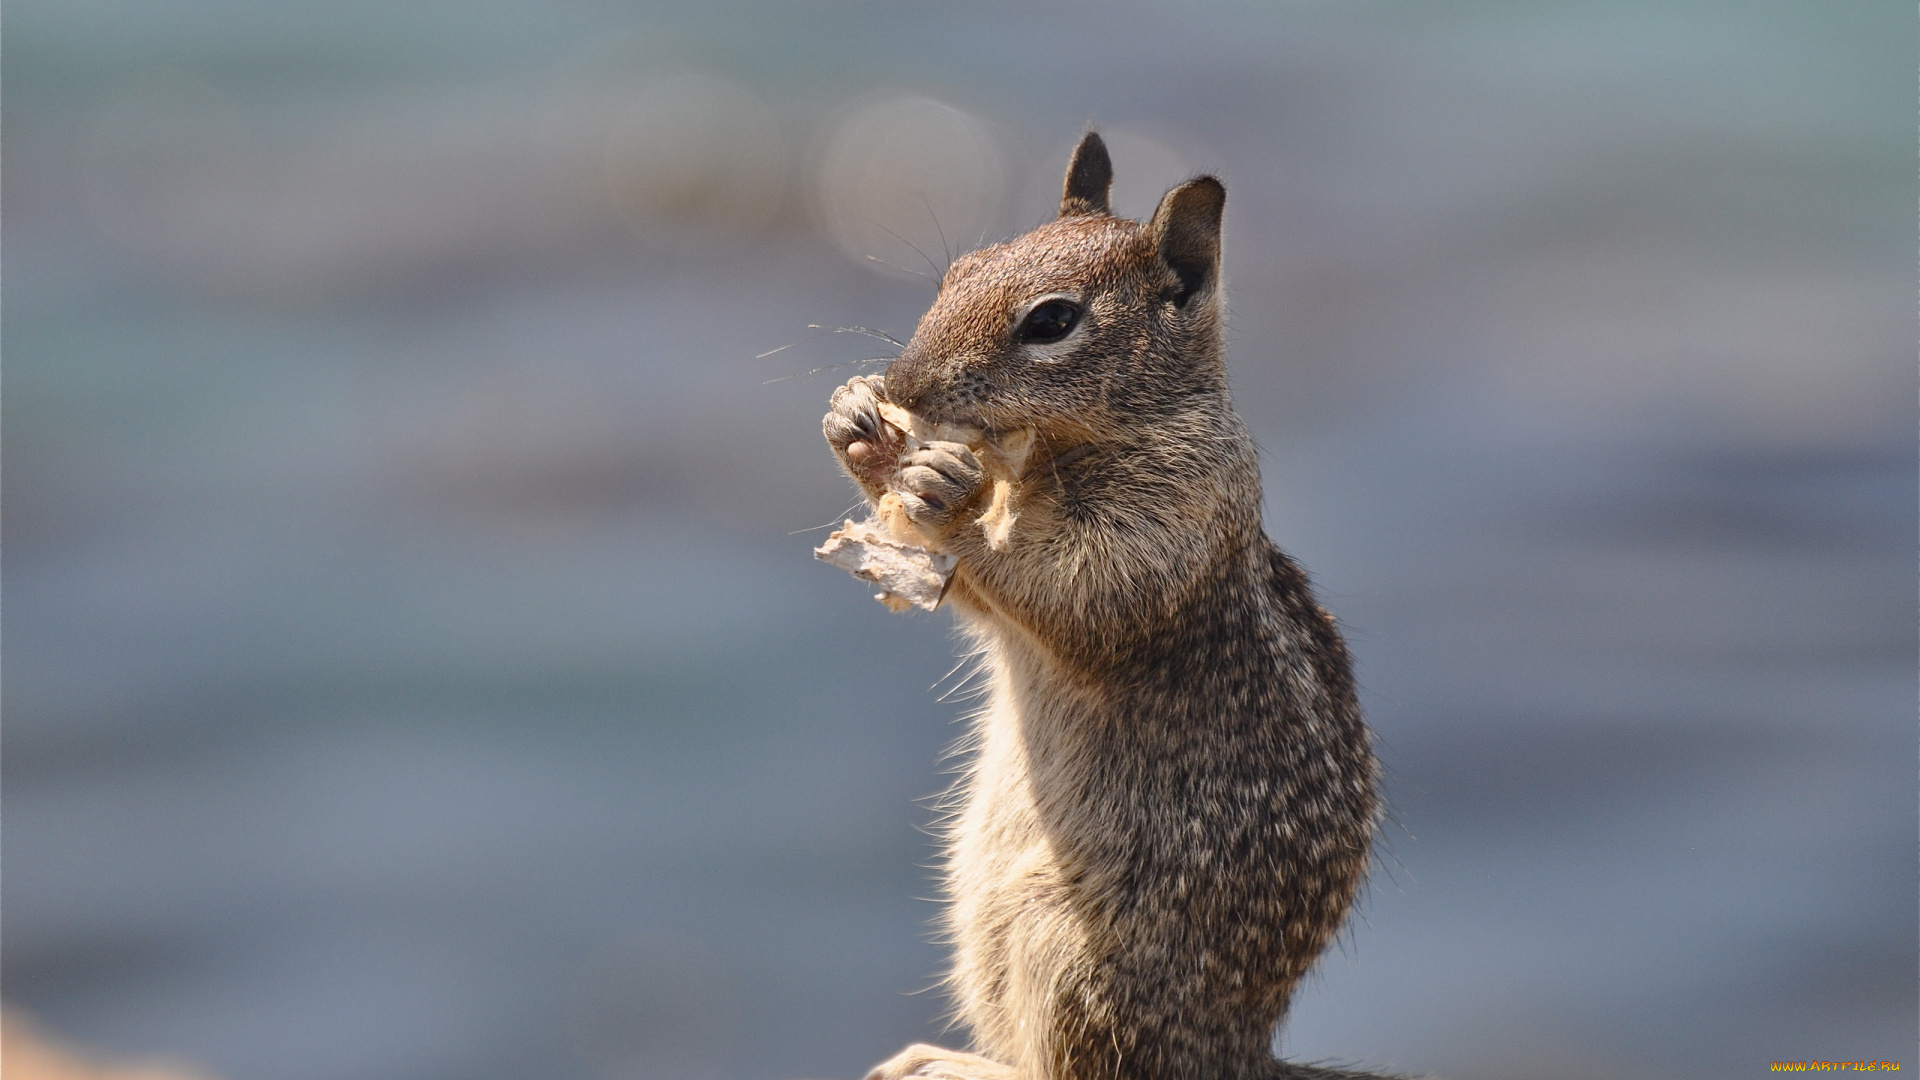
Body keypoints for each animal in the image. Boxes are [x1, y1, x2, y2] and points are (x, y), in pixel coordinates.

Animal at [817, 132, 1390, 1076]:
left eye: (1051, 323)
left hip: (1065, 945)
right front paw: (859, 424)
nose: (903, 385)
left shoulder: (1166, 523)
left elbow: (1064, 598)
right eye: (960, 270)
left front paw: (943, 490)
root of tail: (1237, 1052)